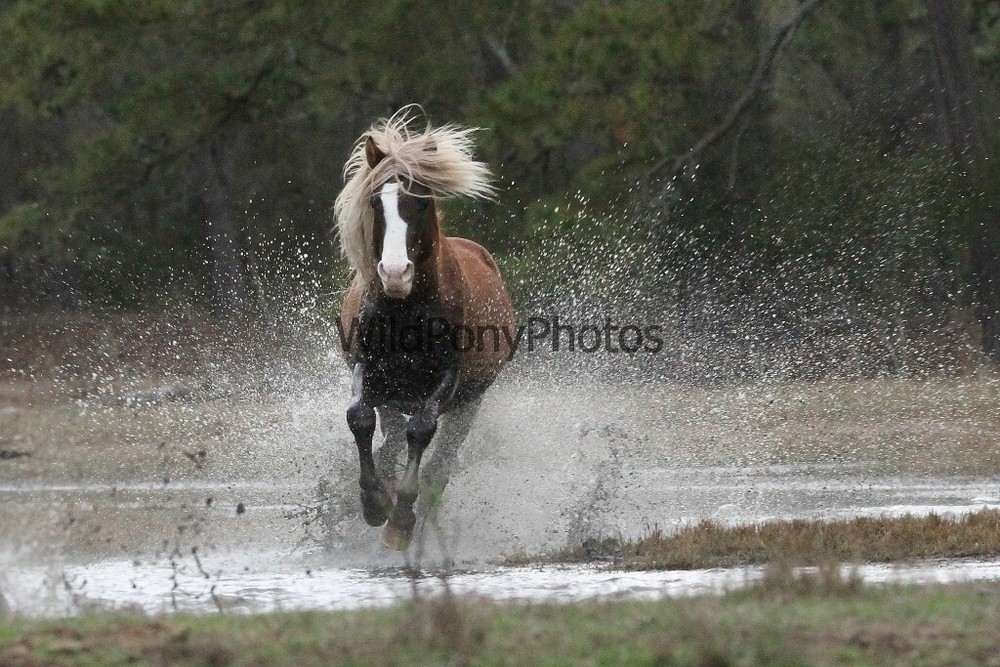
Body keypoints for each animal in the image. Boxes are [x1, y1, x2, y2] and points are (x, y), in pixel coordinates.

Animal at [333, 107, 515, 550]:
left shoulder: (446, 381)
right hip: (393, 395)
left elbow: (421, 432)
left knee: (439, 463)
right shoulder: (368, 369)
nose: (395, 273)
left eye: (420, 201)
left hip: (469, 403)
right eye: (375, 201)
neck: (407, 311)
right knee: (389, 437)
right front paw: (372, 502)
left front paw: (399, 520)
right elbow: (359, 418)